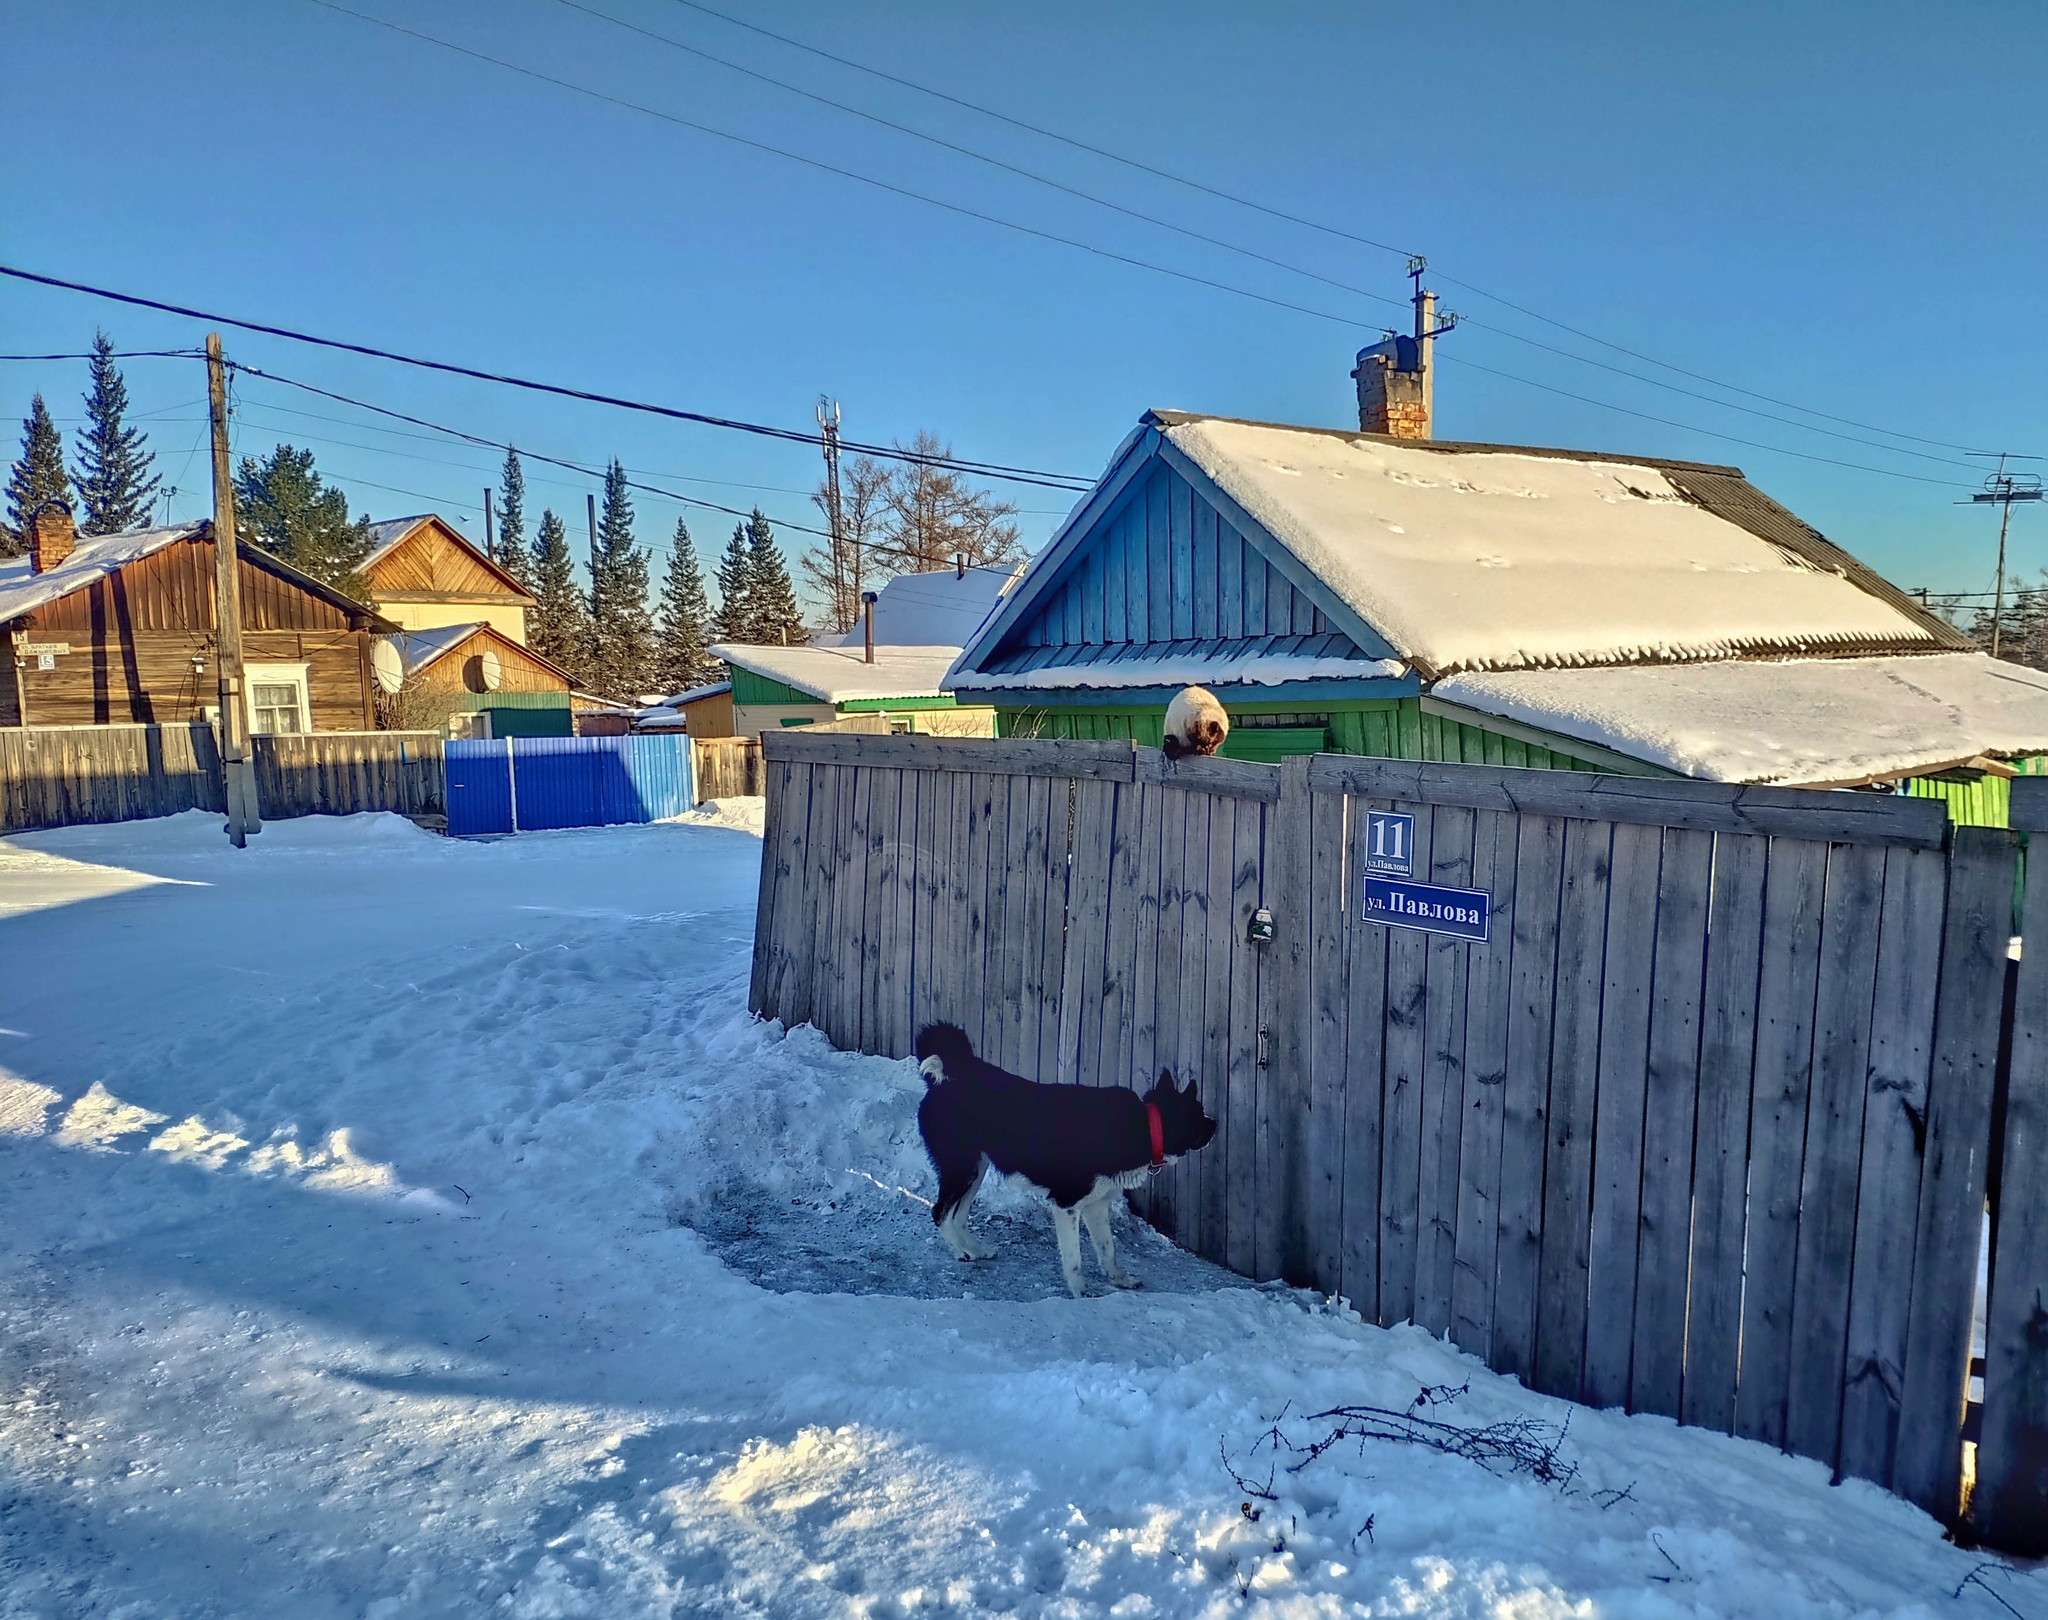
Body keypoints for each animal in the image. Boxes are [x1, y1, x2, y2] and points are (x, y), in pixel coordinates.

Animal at [913, 1019, 1212, 1302]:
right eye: (1200, 1113)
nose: (1216, 1124)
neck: (1145, 1125)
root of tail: (949, 1075)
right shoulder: (1066, 1204)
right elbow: (1074, 1258)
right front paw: (1080, 1290)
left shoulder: (1096, 1205)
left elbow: (1108, 1249)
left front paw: (1119, 1279)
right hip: (960, 1167)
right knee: (940, 1212)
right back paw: (959, 1251)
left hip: (976, 1169)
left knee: (959, 1214)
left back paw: (975, 1248)